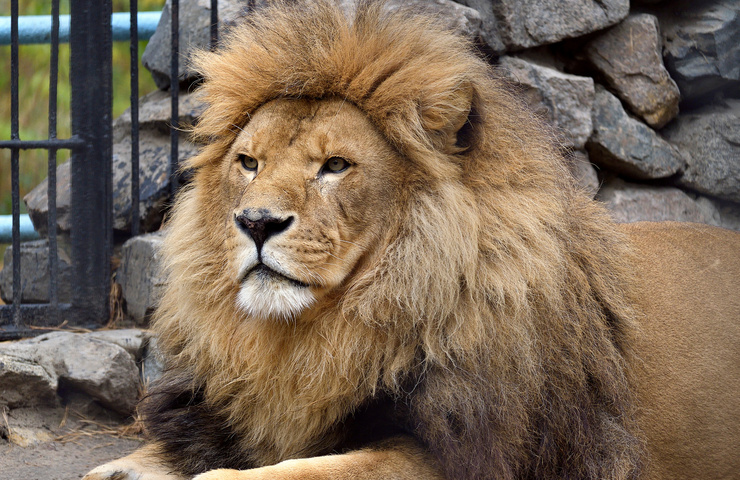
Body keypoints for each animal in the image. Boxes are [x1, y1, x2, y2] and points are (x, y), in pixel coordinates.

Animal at [84, 0, 736, 480]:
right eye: (248, 162)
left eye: (335, 166)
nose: (257, 223)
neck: (314, 340)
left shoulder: (461, 449)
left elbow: (306, 471)